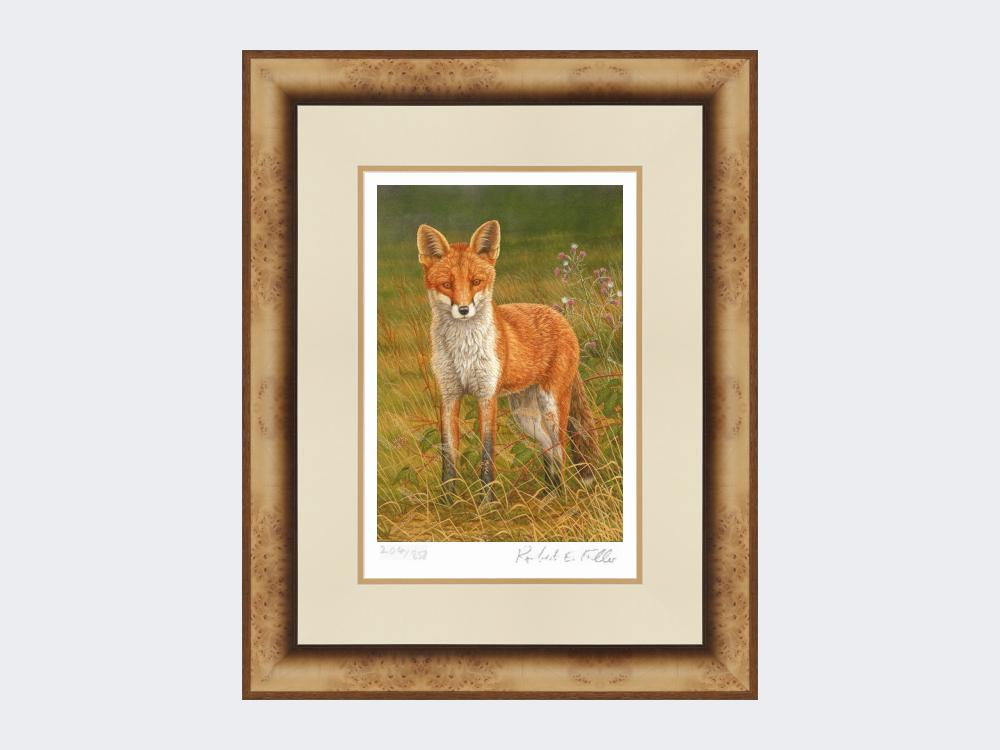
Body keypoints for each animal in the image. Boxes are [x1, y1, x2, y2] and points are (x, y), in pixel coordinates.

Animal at [417, 219, 600, 502]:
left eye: (476, 282)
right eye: (447, 284)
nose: (463, 310)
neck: (463, 351)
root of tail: (560, 317)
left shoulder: (486, 395)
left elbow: (487, 452)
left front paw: (486, 502)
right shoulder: (449, 395)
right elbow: (448, 453)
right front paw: (447, 502)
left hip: (551, 407)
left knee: (561, 448)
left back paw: (560, 498)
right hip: (525, 415)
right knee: (548, 447)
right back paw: (549, 494)